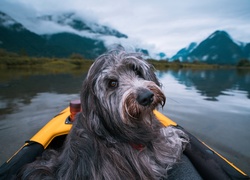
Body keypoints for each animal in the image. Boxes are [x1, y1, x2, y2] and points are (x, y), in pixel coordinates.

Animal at [17, 48, 188, 180]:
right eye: (112, 83)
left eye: (136, 70)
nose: (146, 97)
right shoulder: (151, 158)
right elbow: (170, 143)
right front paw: (174, 133)